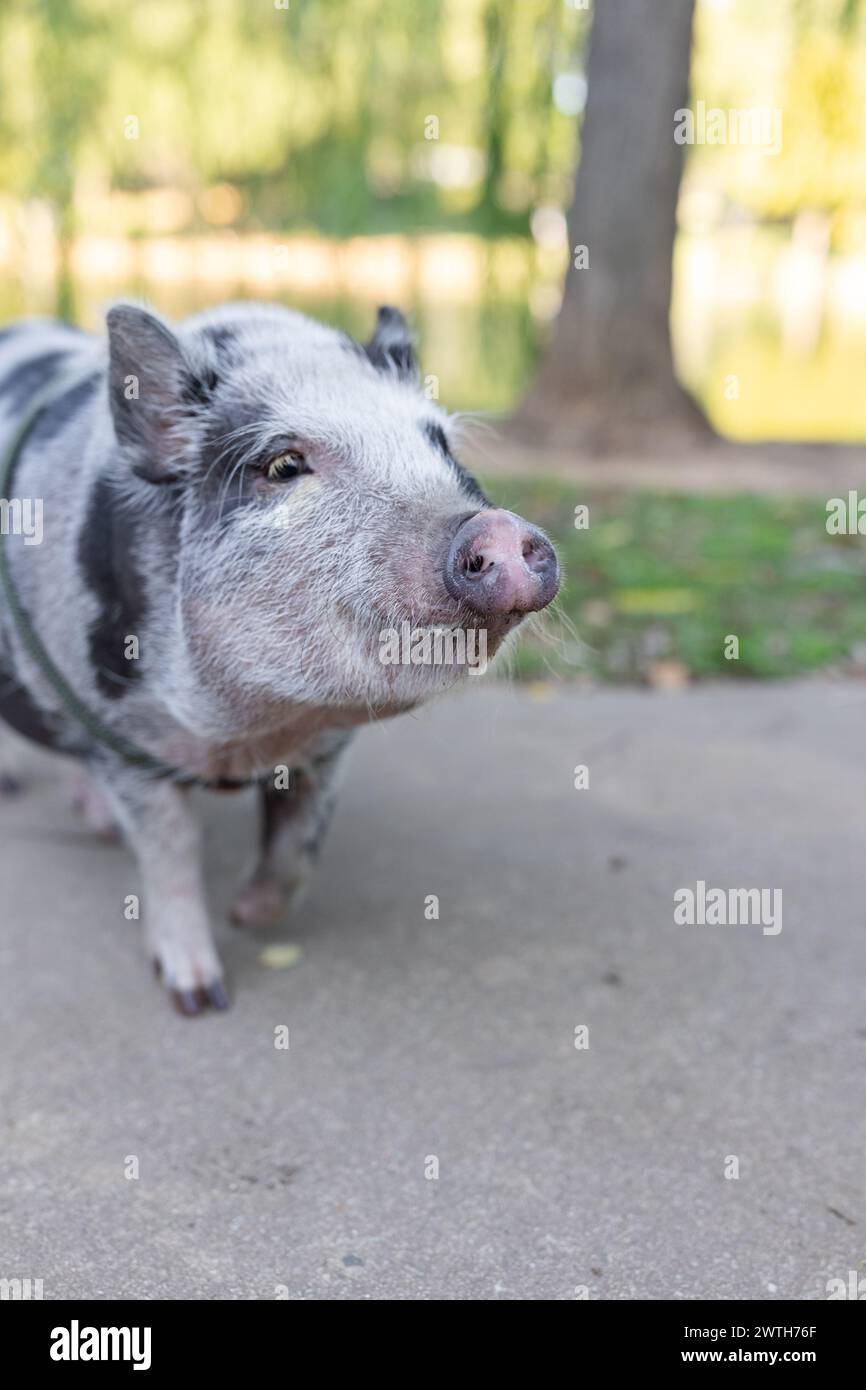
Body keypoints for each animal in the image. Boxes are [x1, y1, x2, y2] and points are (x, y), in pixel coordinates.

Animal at [0, 304, 558, 1017]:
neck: (251, 733)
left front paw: (247, 915)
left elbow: (299, 846)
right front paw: (201, 999)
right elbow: (170, 851)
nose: (500, 530)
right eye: (285, 465)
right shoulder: (125, 733)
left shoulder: (327, 750)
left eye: (441, 445)